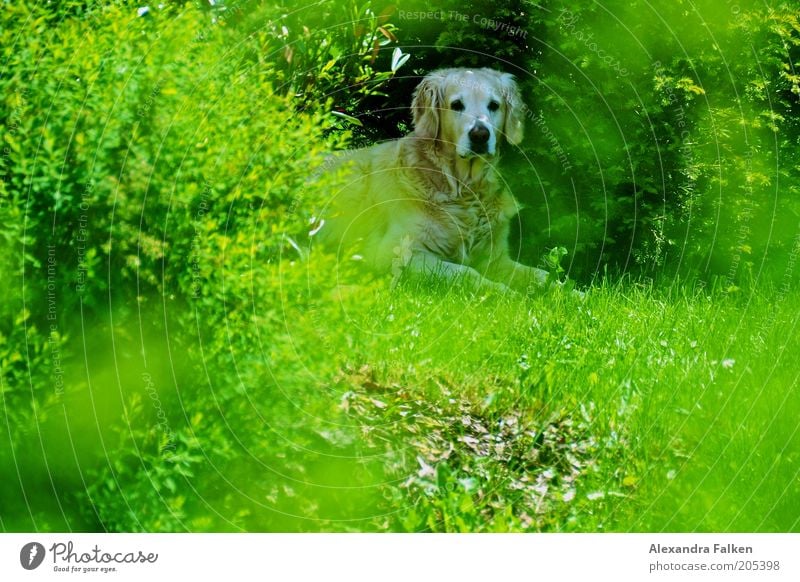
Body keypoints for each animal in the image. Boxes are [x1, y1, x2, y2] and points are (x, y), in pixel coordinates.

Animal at [316, 68, 552, 294]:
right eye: (456, 105)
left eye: (494, 105)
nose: (480, 134)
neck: (465, 191)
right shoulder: (392, 254)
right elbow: (466, 272)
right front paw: (502, 293)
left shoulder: (495, 258)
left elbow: (543, 276)